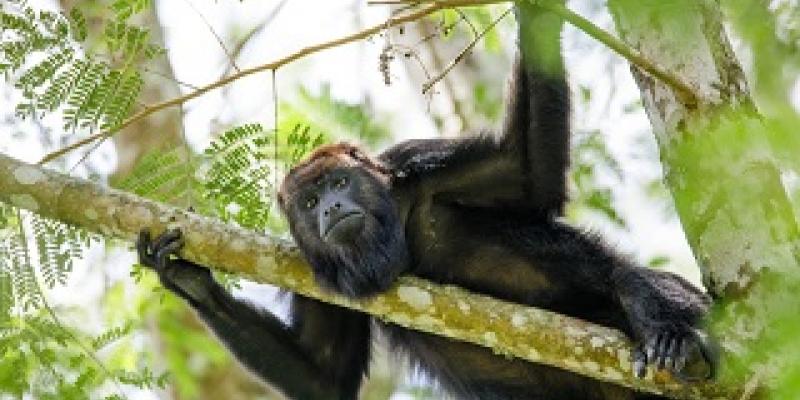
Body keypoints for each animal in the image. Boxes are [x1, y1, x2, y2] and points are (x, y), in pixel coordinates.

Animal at [136, 2, 715, 399]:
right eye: (309, 201)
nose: (330, 209)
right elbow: (324, 375)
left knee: (626, 276)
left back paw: (663, 328)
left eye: (340, 183)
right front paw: (184, 276)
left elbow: (528, 171)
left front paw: (536, 9)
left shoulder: (416, 161)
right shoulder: (310, 266)